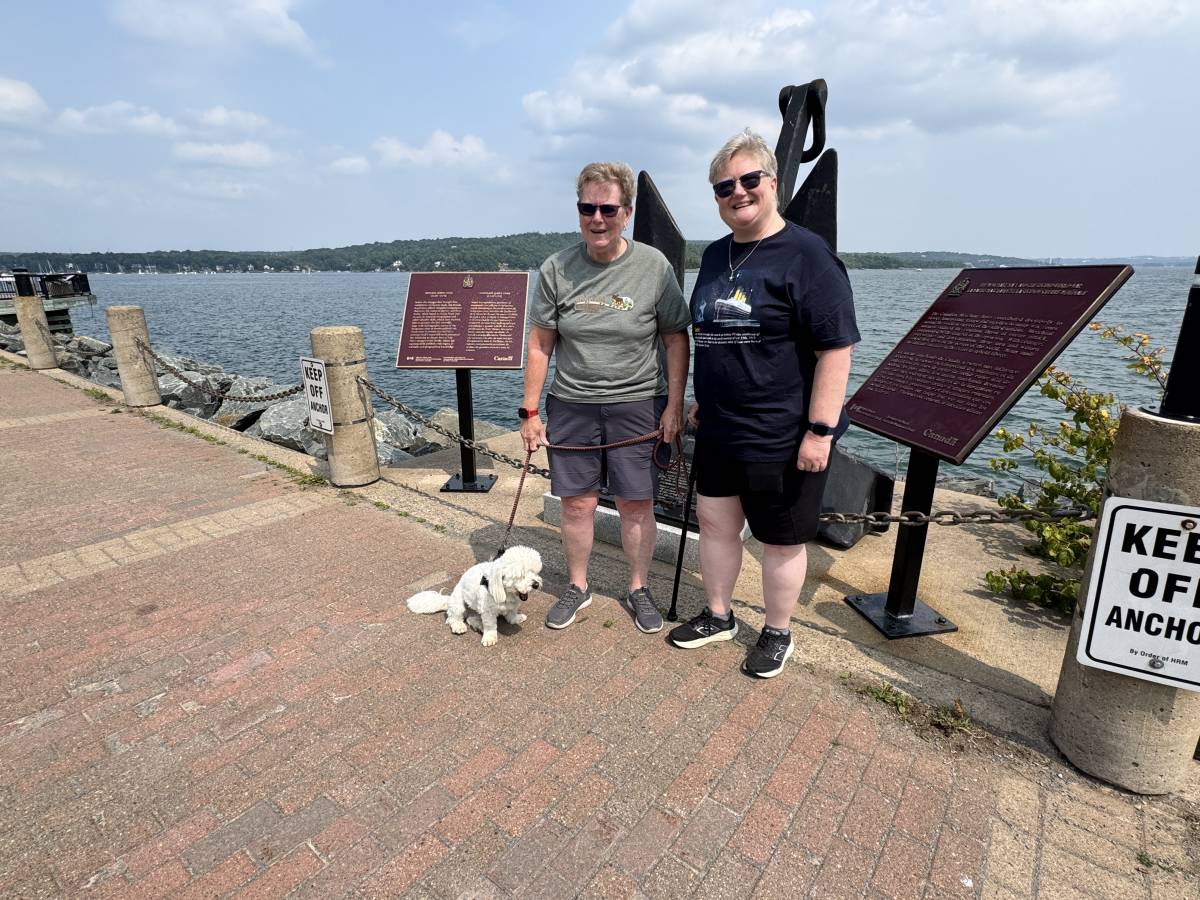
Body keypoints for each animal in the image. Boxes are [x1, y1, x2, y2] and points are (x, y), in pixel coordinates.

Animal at [406, 546, 542, 646]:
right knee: (453, 618)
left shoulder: (513, 605)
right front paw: (490, 637)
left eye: (535, 572)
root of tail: (448, 600)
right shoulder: (488, 611)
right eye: (521, 575)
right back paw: (459, 626)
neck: (506, 593)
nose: (536, 584)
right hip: (458, 604)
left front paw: (515, 619)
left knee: (471, 619)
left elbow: (511, 613)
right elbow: (490, 625)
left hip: (474, 611)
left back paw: (478, 625)